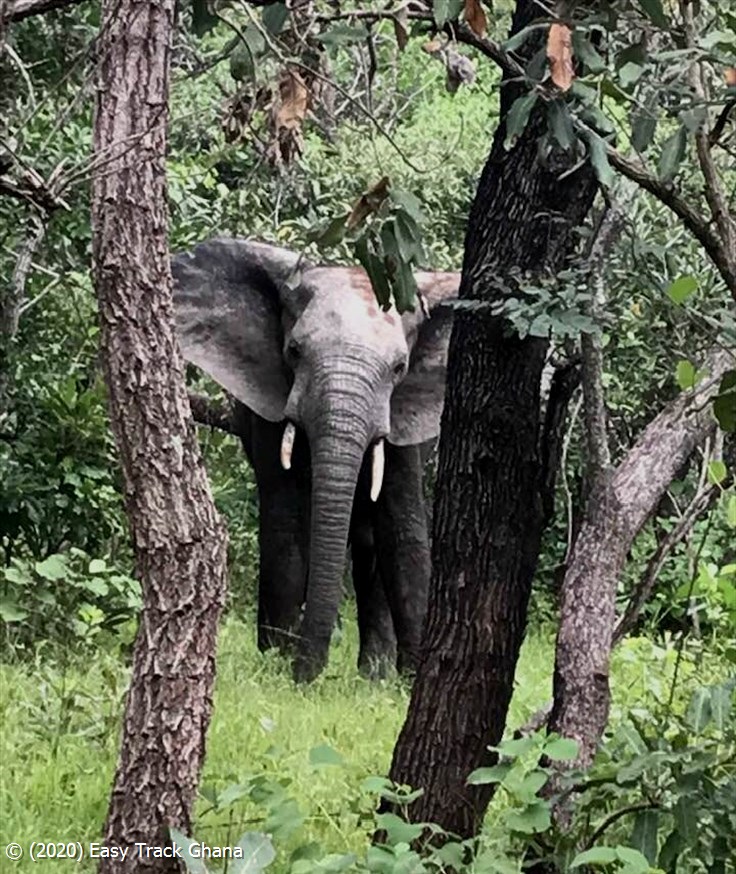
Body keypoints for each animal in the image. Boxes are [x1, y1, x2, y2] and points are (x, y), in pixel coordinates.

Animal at [171, 237, 458, 682]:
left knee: (368, 537)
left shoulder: (402, 414)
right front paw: (279, 664)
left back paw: (374, 675)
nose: (310, 671)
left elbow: (401, 524)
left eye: (399, 367)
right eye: (293, 350)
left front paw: (412, 678)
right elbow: (287, 516)